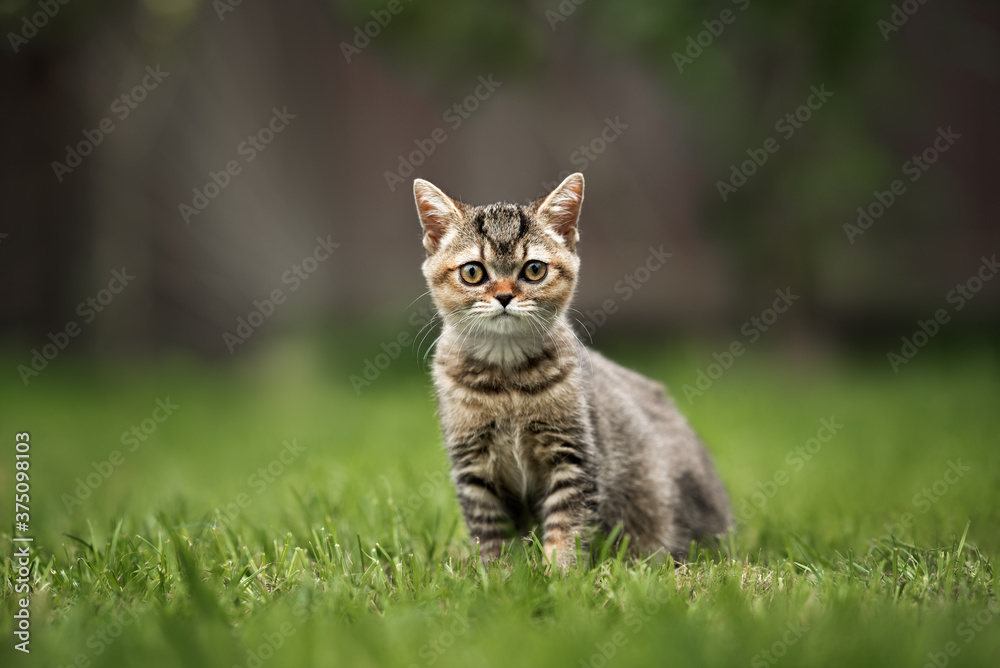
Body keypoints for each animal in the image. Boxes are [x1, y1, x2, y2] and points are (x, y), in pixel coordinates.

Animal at [410, 172, 732, 568]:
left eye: (534, 269)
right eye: (473, 272)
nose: (504, 296)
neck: (508, 381)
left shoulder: (574, 456)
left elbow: (568, 522)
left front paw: (559, 573)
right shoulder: (473, 466)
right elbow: (491, 533)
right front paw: (497, 573)